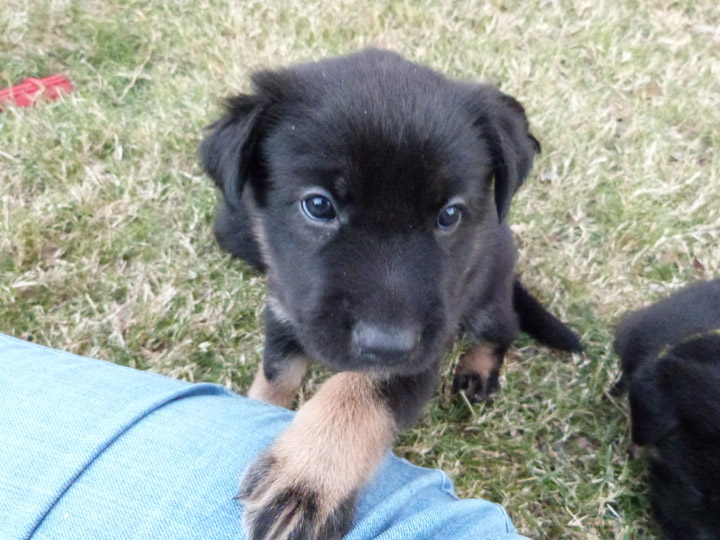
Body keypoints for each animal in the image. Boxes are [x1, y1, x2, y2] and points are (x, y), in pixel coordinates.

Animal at [200, 49, 584, 540]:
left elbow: (359, 396)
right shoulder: (286, 310)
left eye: (449, 215)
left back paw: (477, 371)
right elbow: (277, 374)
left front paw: (305, 475)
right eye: (318, 205)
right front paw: (259, 408)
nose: (388, 345)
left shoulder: (419, 358)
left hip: (487, 293)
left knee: (502, 329)